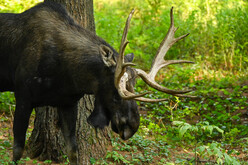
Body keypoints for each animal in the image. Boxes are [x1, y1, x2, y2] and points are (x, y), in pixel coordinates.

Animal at [0, 1, 194, 165]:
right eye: (116, 94)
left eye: (134, 86)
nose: (131, 127)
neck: (68, 75)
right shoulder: (23, 98)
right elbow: (17, 151)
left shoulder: (68, 103)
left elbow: (73, 151)